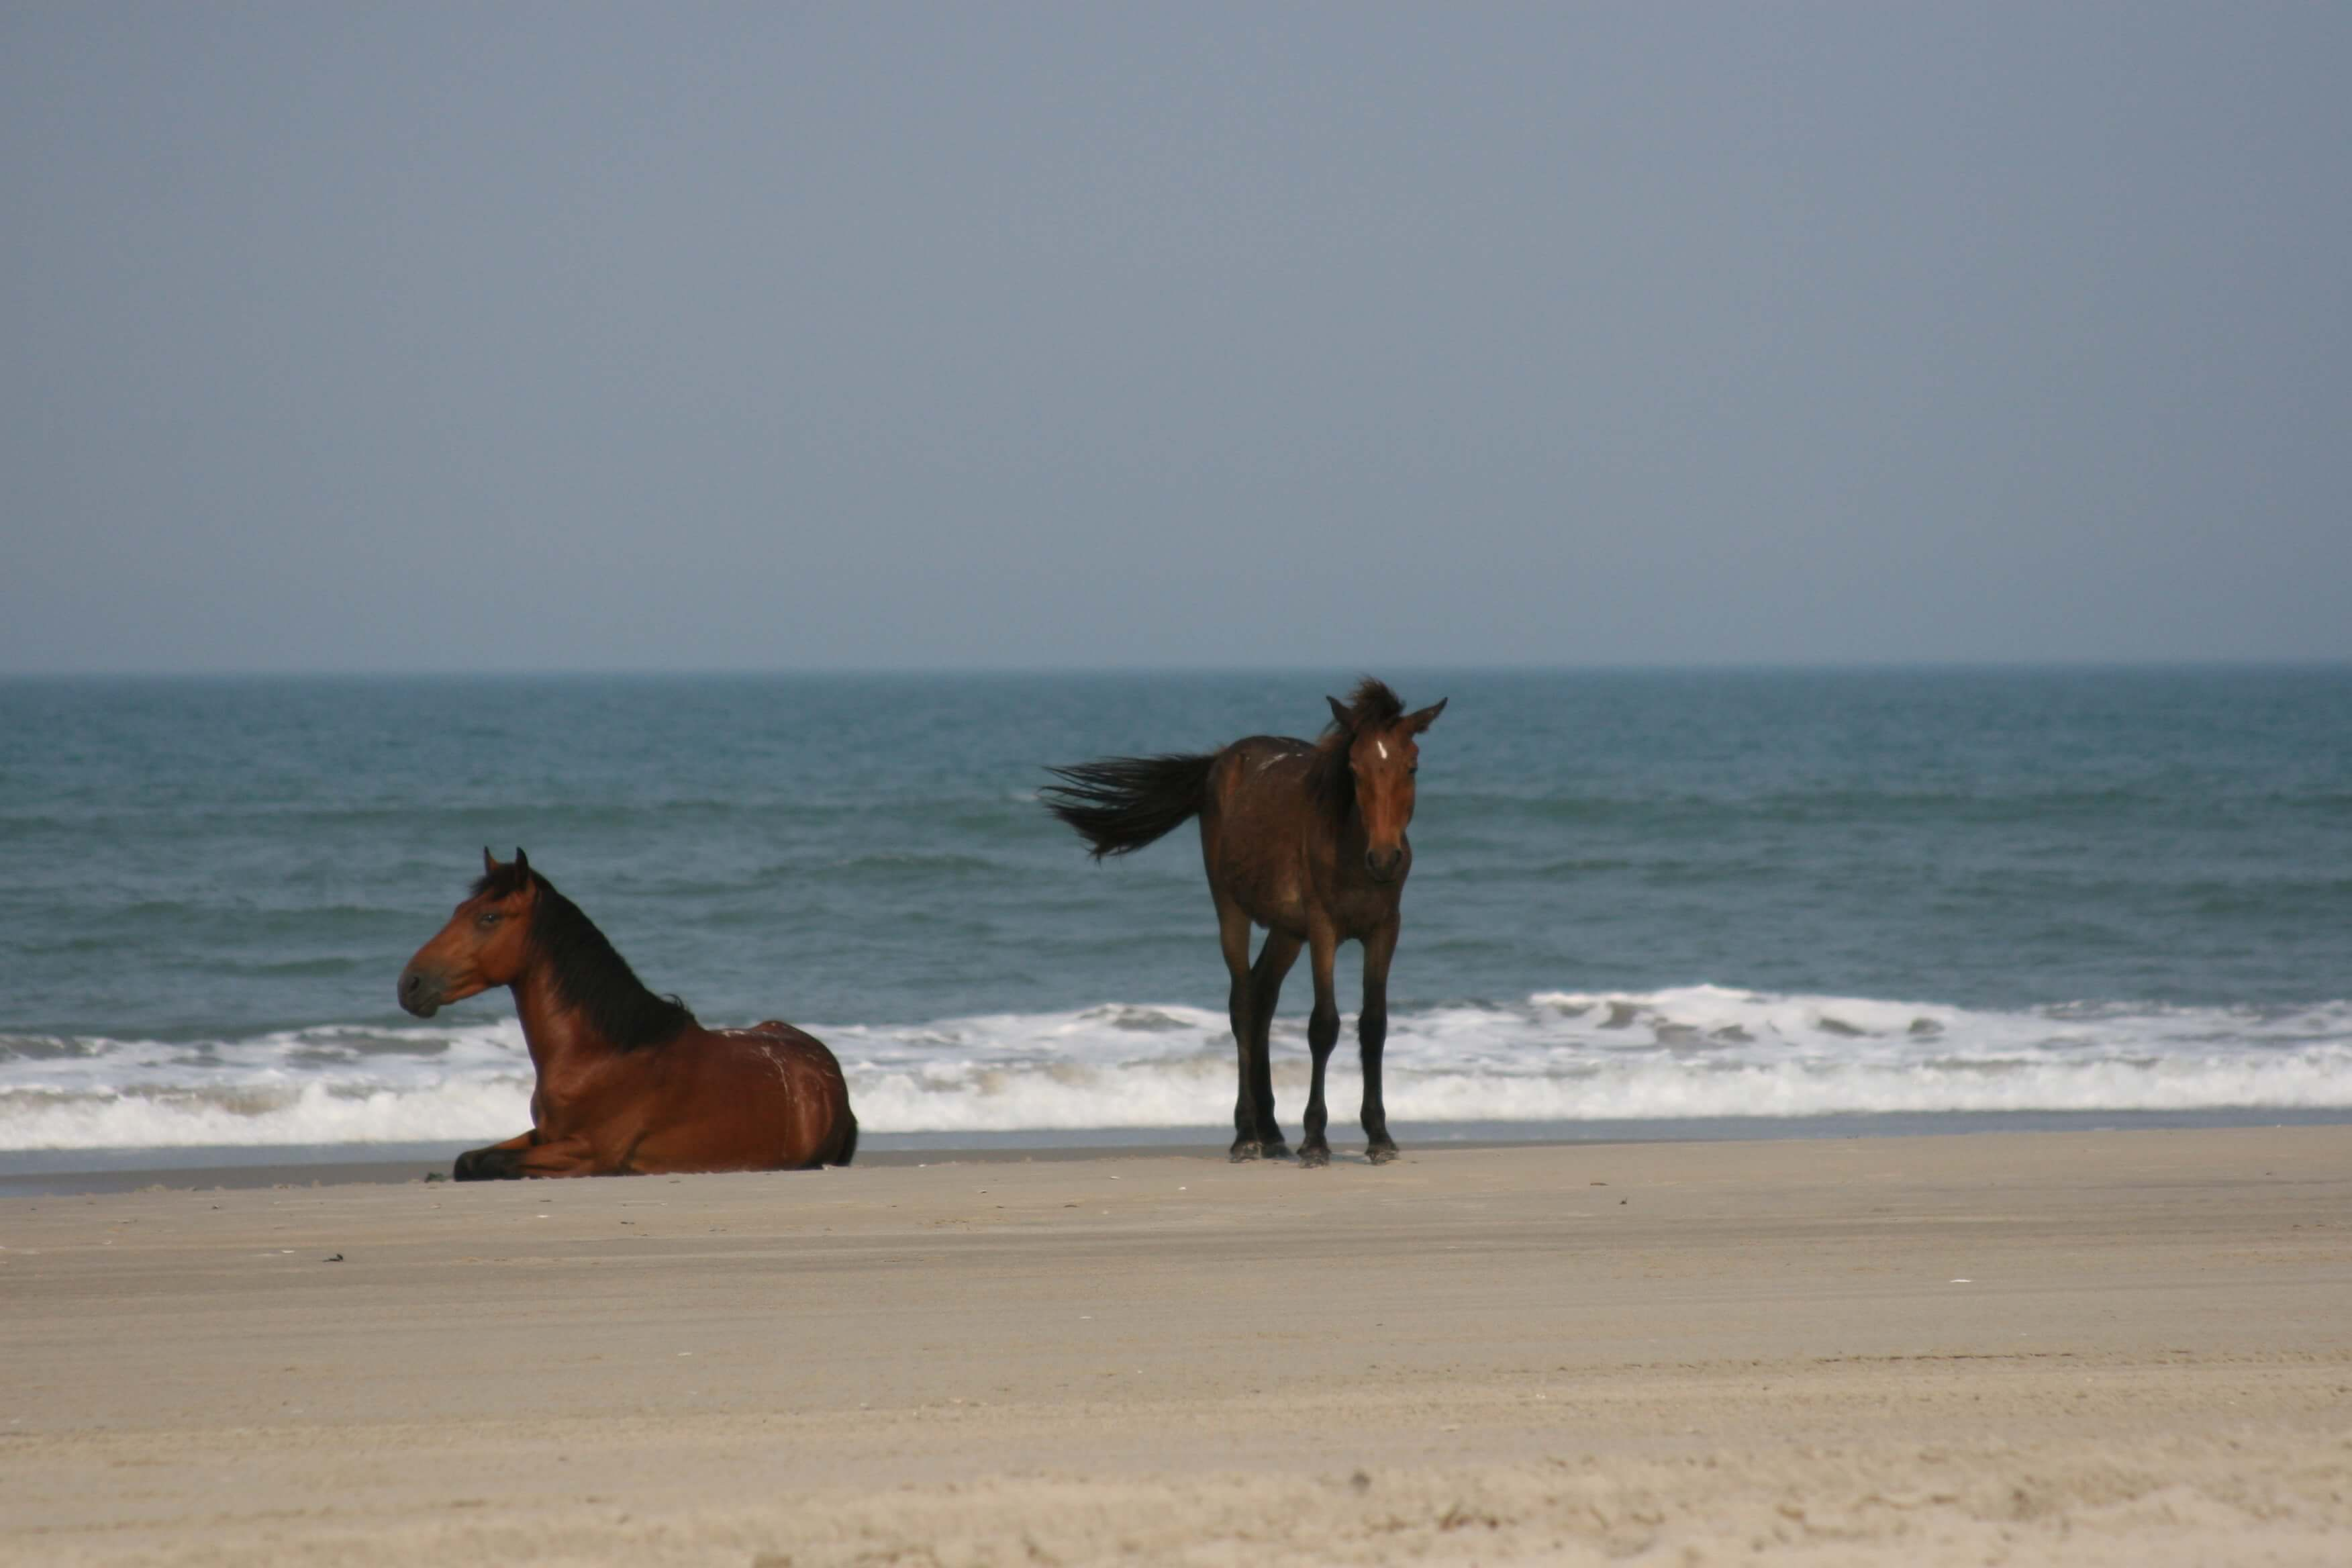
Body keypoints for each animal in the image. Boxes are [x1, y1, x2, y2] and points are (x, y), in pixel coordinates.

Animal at [397, 849, 856, 1179]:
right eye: (459, 910)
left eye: (488, 917)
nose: (409, 985)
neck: (601, 1055)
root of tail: (829, 1071)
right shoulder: (543, 1135)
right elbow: (468, 1160)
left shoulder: (588, 1153)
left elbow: (491, 1164)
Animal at [1043, 677, 1446, 1166]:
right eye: (1354, 769)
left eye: (1412, 767)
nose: (1385, 859)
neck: (1351, 848)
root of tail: (1221, 759)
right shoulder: (1324, 929)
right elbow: (1323, 1025)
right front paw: (1316, 1139)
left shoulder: (1384, 930)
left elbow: (1374, 1025)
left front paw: (1380, 1136)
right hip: (1233, 912)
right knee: (1243, 1004)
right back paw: (1247, 1135)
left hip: (1286, 931)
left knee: (1263, 998)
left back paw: (1271, 1132)